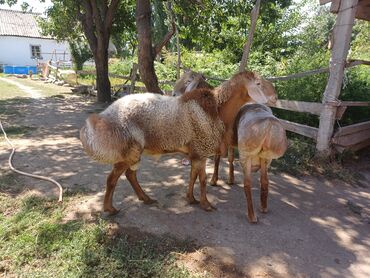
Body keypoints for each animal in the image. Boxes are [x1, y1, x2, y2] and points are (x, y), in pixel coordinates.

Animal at [81, 70, 278, 214]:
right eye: (258, 84)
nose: (275, 97)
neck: (216, 108)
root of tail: (104, 116)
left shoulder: (196, 152)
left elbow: (193, 176)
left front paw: (191, 199)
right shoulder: (201, 150)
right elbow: (203, 180)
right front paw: (206, 205)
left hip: (134, 151)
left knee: (130, 174)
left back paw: (145, 198)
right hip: (130, 149)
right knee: (112, 178)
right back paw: (110, 209)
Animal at [172, 70, 288, 223]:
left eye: (188, 81)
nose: (173, 94)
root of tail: (269, 125)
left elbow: (211, 163)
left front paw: (213, 181)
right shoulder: (228, 142)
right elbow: (229, 158)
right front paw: (230, 179)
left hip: (247, 155)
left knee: (247, 183)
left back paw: (252, 216)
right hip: (265, 158)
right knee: (265, 181)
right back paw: (263, 207)